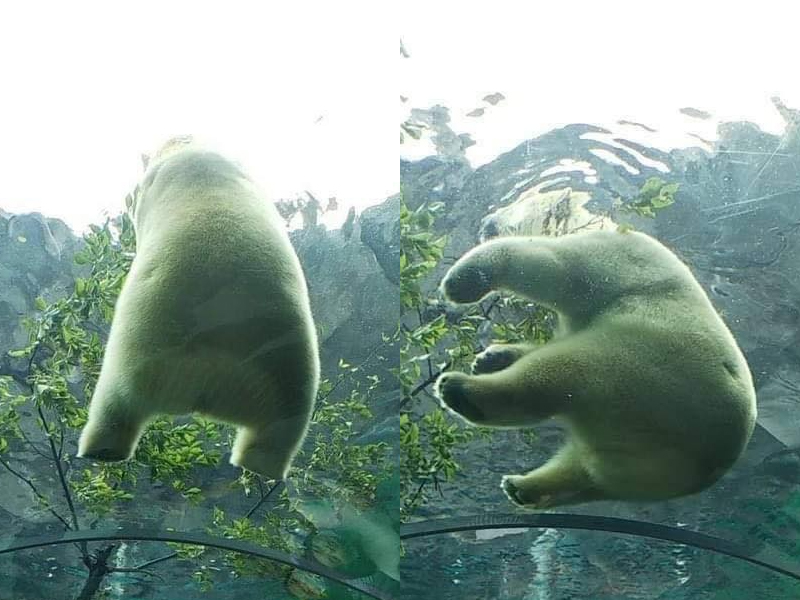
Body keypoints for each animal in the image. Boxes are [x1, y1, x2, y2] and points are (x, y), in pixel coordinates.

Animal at [76, 138, 320, 480]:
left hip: (142, 355)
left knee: (115, 403)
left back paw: (101, 448)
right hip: (286, 372)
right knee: (279, 430)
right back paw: (261, 464)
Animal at [438, 229, 756, 506]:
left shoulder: (614, 265)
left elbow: (545, 265)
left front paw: (462, 282)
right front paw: (491, 357)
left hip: (646, 369)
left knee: (560, 374)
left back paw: (460, 391)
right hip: (637, 458)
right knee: (586, 472)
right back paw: (522, 486)